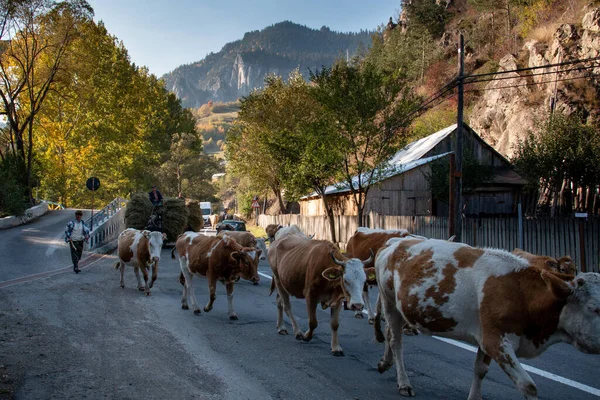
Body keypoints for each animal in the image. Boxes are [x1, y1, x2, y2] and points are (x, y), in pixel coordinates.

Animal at [376, 236, 600, 398]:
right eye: (594, 308)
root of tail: (395, 242)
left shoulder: (485, 337)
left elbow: (480, 370)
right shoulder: (496, 341)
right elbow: (528, 385)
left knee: (389, 332)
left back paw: (385, 363)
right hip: (388, 300)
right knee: (396, 341)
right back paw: (403, 383)